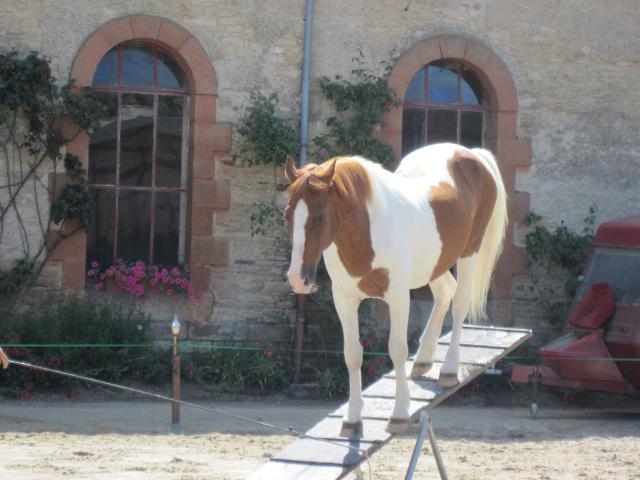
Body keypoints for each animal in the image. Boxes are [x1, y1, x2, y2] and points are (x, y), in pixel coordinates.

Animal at [282, 142, 508, 436]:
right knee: (445, 291)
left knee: (459, 305)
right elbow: (352, 354)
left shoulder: (398, 297)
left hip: (469, 252)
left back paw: (448, 370)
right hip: (433, 264)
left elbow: (396, 349)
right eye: (287, 215)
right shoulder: (344, 299)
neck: (367, 234)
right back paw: (423, 360)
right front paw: (352, 420)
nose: (298, 278)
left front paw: (399, 413)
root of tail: (470, 153)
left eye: (319, 218)